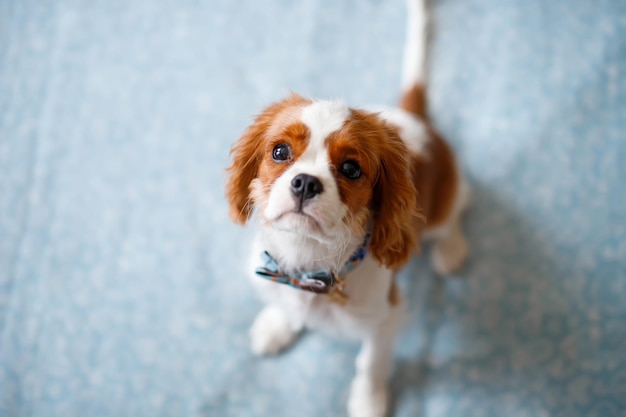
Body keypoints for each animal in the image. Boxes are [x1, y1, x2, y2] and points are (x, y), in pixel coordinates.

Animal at [223, 1, 464, 414]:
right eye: (280, 152)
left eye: (351, 169)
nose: (305, 182)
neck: (308, 260)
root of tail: (415, 119)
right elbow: (285, 307)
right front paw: (277, 325)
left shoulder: (386, 316)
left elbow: (370, 363)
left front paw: (368, 401)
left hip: (447, 199)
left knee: (451, 220)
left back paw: (451, 249)